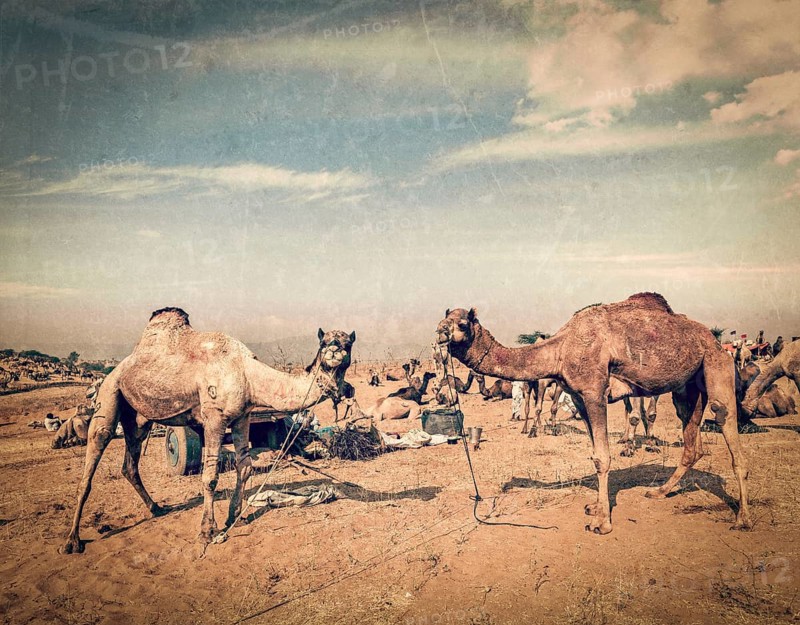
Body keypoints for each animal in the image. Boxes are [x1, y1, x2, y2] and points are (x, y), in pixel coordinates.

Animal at [62, 308, 354, 554]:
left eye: (347, 343)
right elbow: (210, 476)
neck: (246, 373)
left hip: (139, 417)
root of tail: (120, 366)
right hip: (109, 392)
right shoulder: (214, 416)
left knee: (130, 464)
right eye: (324, 342)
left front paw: (235, 517)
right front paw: (207, 531)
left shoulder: (242, 416)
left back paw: (156, 508)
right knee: (95, 452)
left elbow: (245, 467)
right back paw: (72, 541)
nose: (335, 352)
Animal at [435, 293, 751, 534]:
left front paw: (602, 523)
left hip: (716, 364)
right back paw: (660, 491)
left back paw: (743, 519)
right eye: (443, 321)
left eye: (462, 323)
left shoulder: (594, 392)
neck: (560, 348)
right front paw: (596, 507)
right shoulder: (578, 396)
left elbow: (602, 457)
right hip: (687, 387)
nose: (441, 334)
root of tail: (714, 340)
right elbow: (595, 453)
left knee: (725, 420)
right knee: (691, 441)